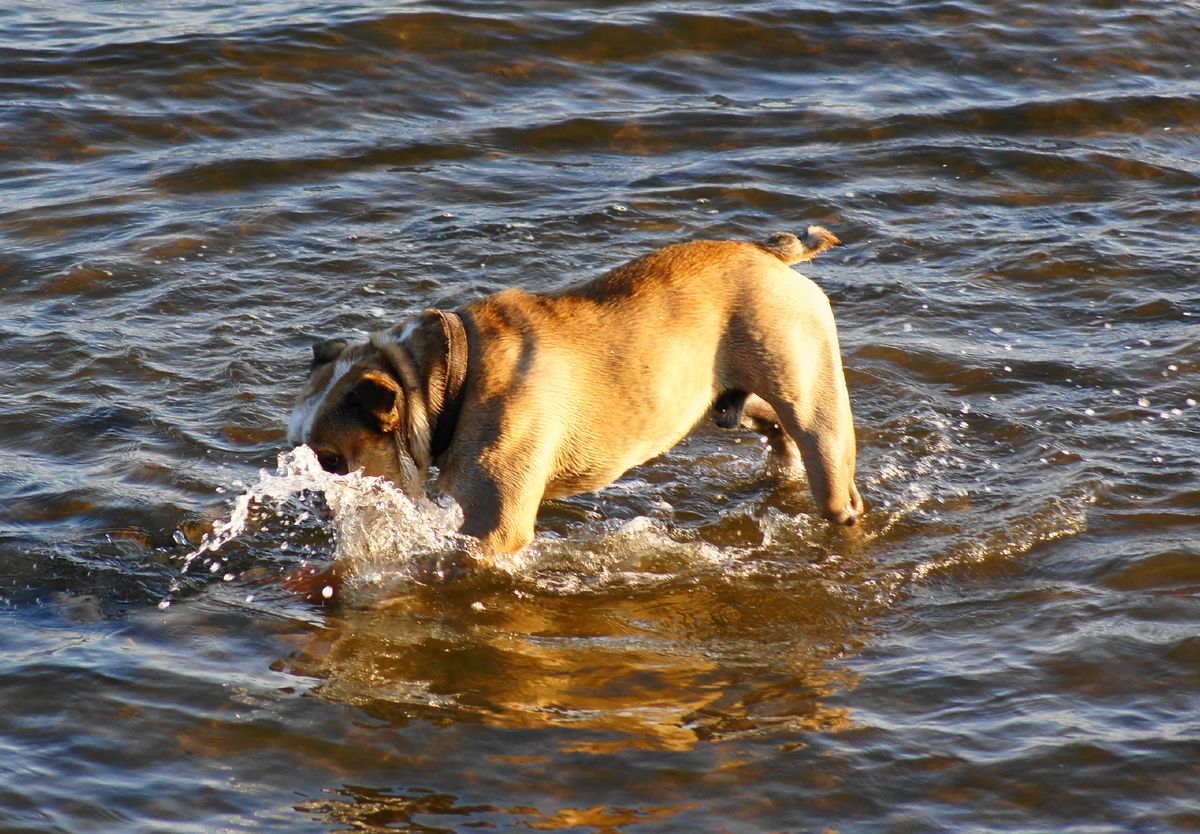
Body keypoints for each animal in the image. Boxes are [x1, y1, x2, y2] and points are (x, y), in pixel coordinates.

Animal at [292, 228, 864, 564]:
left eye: (332, 461)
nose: (309, 494)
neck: (441, 373)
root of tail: (767, 254)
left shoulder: (494, 526)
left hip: (813, 405)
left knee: (832, 478)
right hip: (719, 401)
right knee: (767, 421)